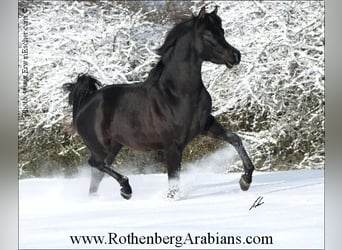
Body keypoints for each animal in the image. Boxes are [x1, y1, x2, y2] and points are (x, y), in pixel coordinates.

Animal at [63, 6, 254, 199]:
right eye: (208, 33)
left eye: (221, 31)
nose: (235, 55)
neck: (179, 94)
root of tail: (85, 103)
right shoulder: (172, 146)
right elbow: (173, 181)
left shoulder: (206, 125)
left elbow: (234, 138)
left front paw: (245, 180)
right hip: (99, 146)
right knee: (96, 164)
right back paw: (126, 188)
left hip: (114, 146)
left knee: (98, 174)